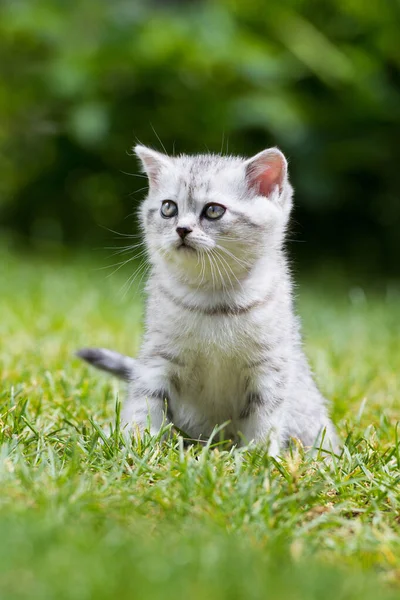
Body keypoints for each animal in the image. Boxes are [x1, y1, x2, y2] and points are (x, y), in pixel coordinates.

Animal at [79, 145, 338, 454]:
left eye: (213, 210)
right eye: (169, 208)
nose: (182, 229)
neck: (212, 298)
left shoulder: (270, 366)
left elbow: (265, 417)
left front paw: (260, 457)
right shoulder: (158, 359)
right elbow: (146, 402)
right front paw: (136, 445)